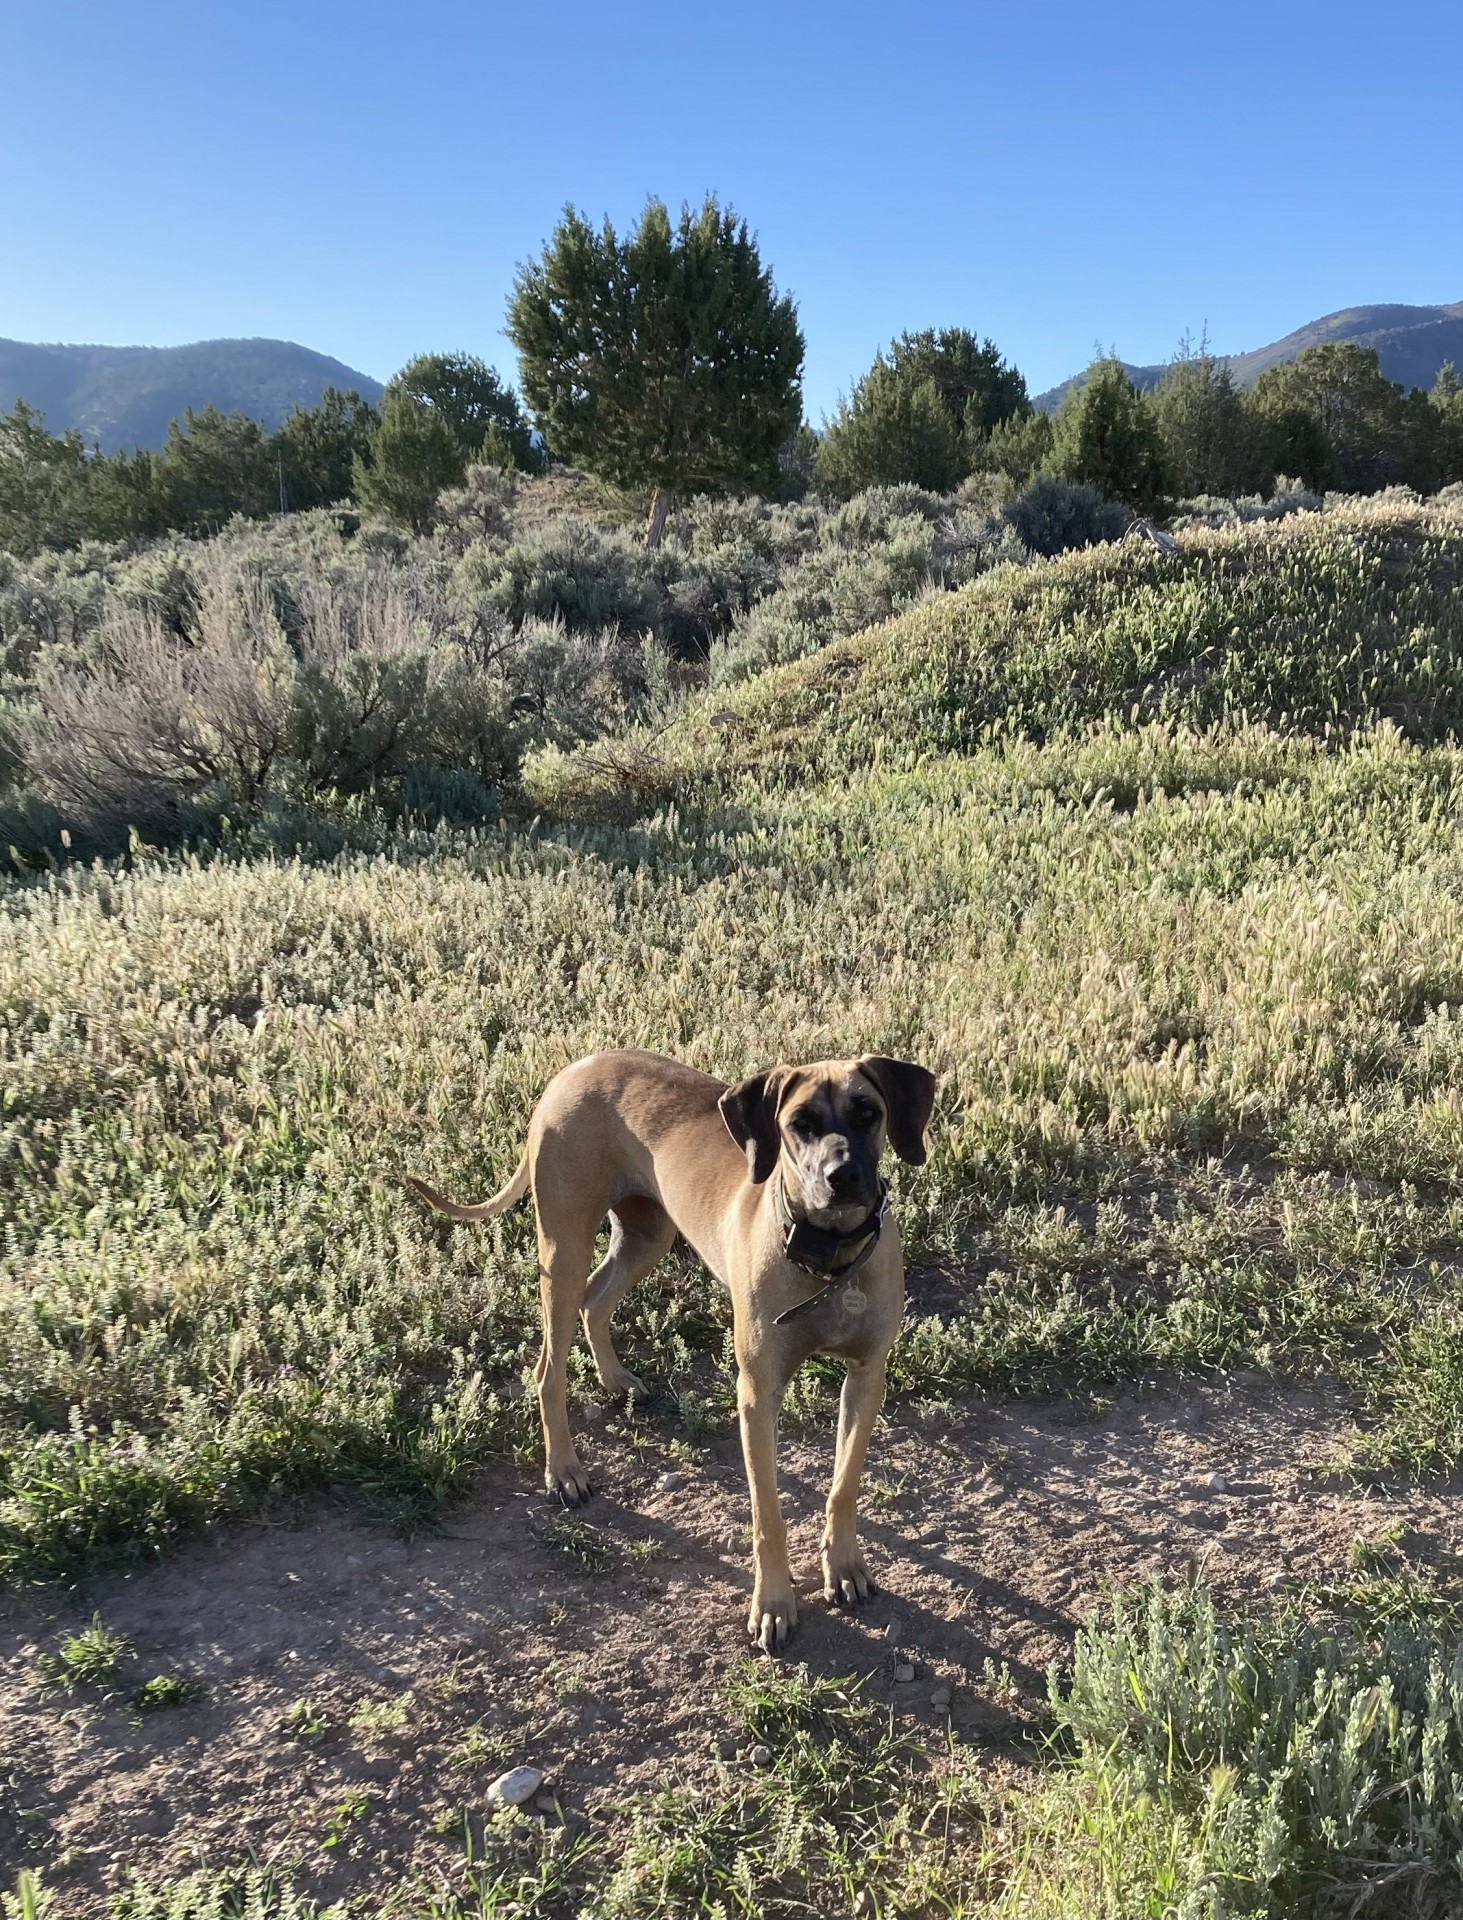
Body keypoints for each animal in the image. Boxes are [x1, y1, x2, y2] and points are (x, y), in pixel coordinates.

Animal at [407, 1052, 933, 1651]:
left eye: (868, 1112)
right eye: (799, 1124)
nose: (841, 1177)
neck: (830, 1256)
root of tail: (573, 1069)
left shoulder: (866, 1377)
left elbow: (843, 1485)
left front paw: (843, 1567)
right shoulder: (758, 1393)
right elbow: (768, 1513)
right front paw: (773, 1603)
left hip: (647, 1231)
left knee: (596, 1298)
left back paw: (616, 1381)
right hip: (563, 1246)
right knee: (548, 1367)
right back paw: (564, 1469)